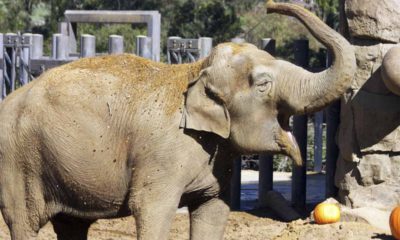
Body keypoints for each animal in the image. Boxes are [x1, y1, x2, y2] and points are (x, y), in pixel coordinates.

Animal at [0, 0, 356, 239]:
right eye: (263, 84)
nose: (270, 5)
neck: (195, 69)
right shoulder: (161, 156)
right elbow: (151, 209)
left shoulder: (217, 159)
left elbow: (214, 210)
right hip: (18, 163)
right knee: (25, 223)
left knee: (72, 225)